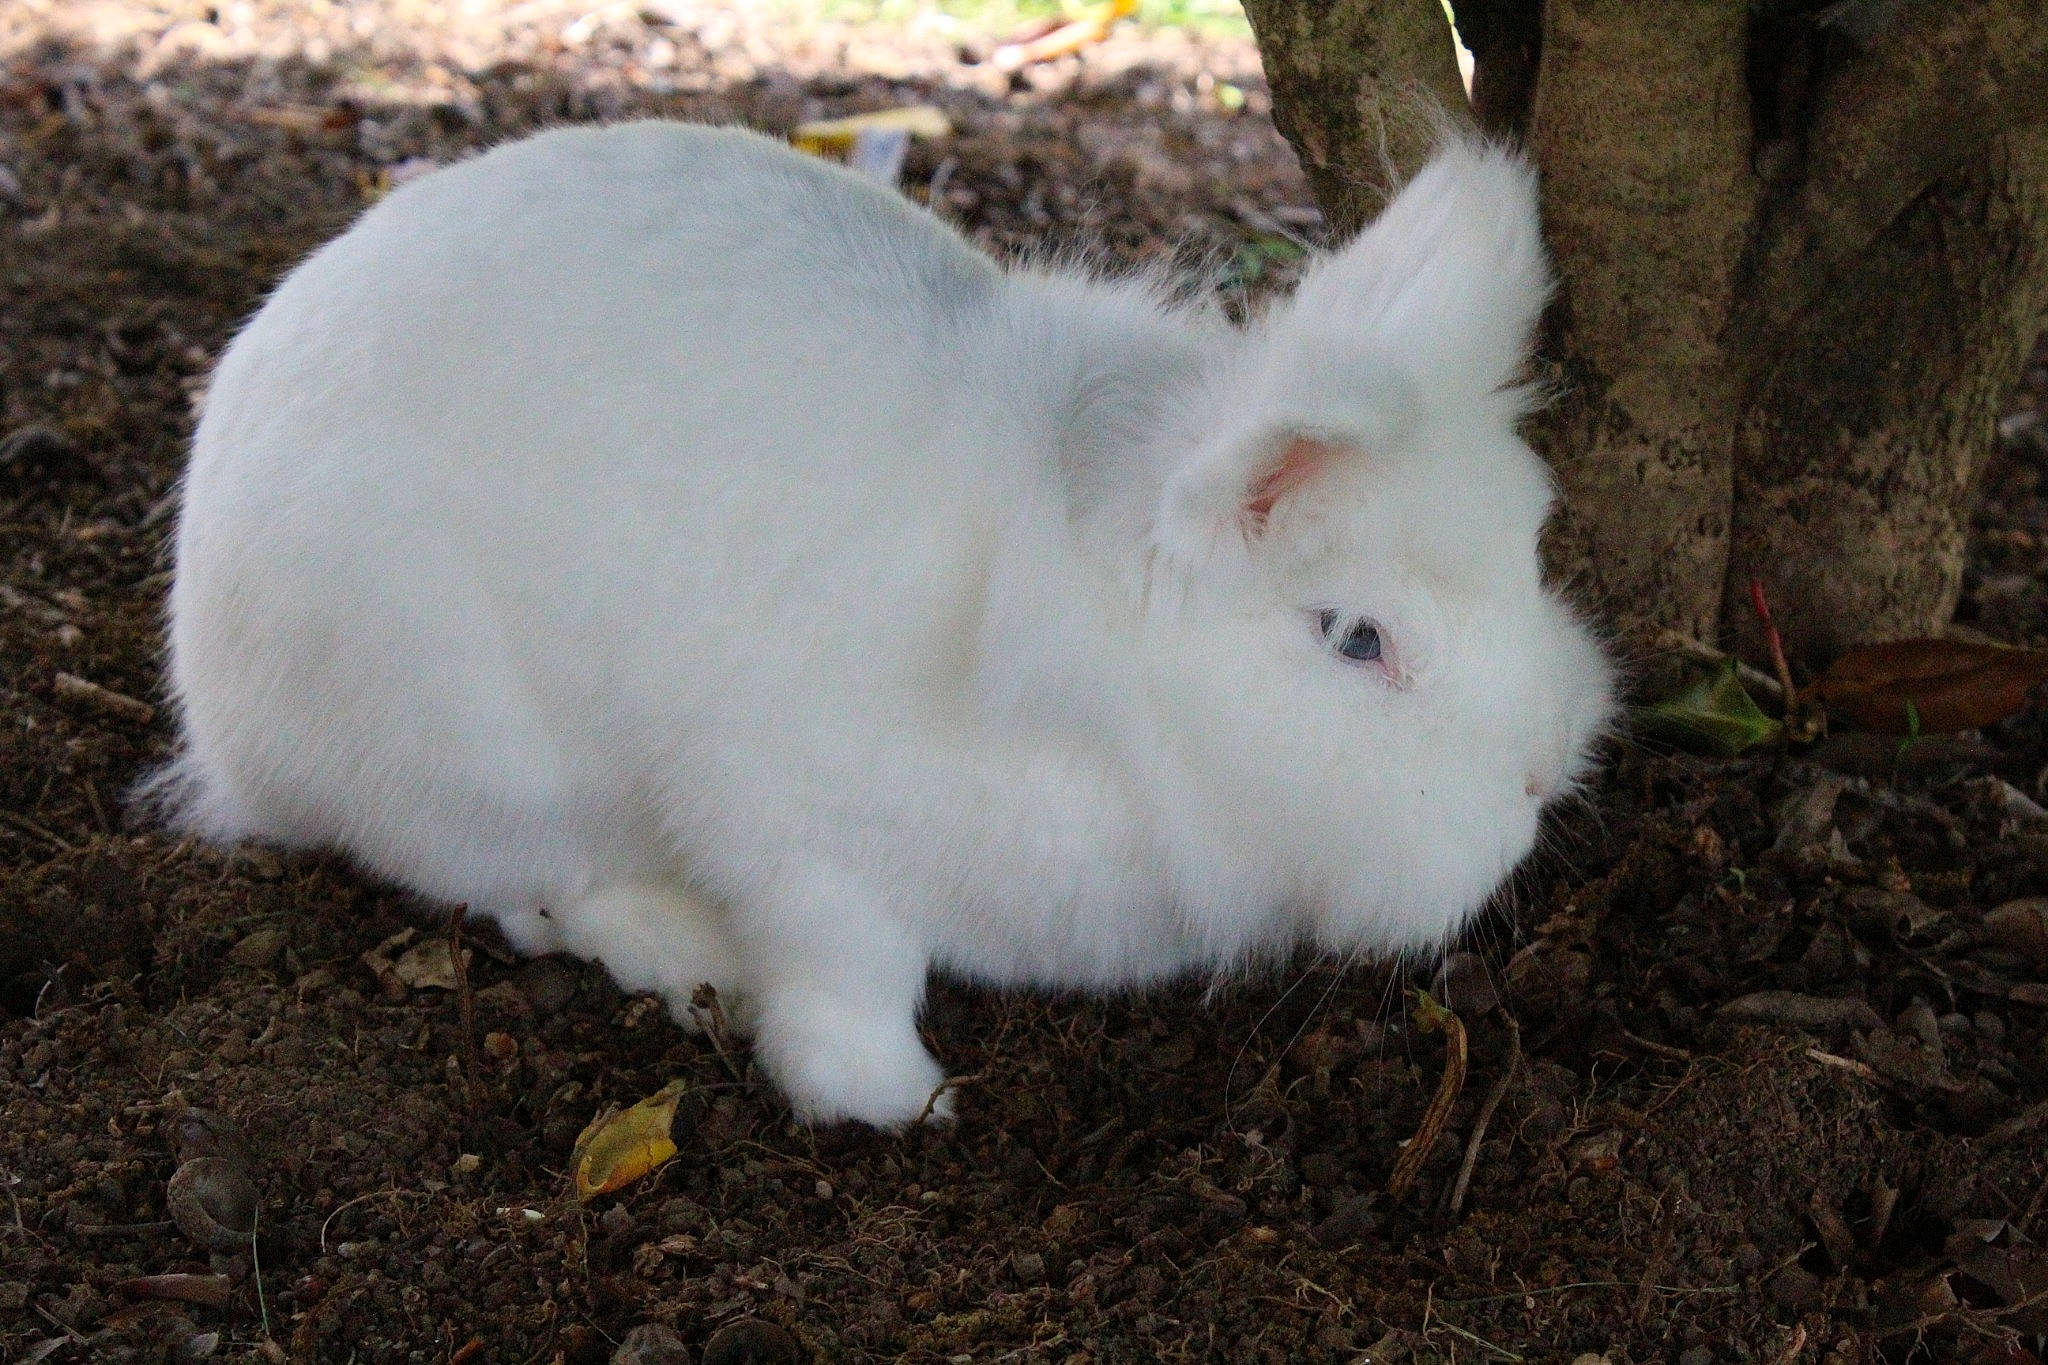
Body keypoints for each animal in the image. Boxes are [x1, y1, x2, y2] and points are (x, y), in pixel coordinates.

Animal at [151, 120, 1615, 1129]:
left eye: (1526, 550)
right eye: (1354, 640)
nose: (1539, 781)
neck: (1110, 681)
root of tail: (221, 725)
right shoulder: (800, 832)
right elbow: (846, 969)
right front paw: (891, 1099)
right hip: (467, 736)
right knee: (529, 888)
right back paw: (682, 948)